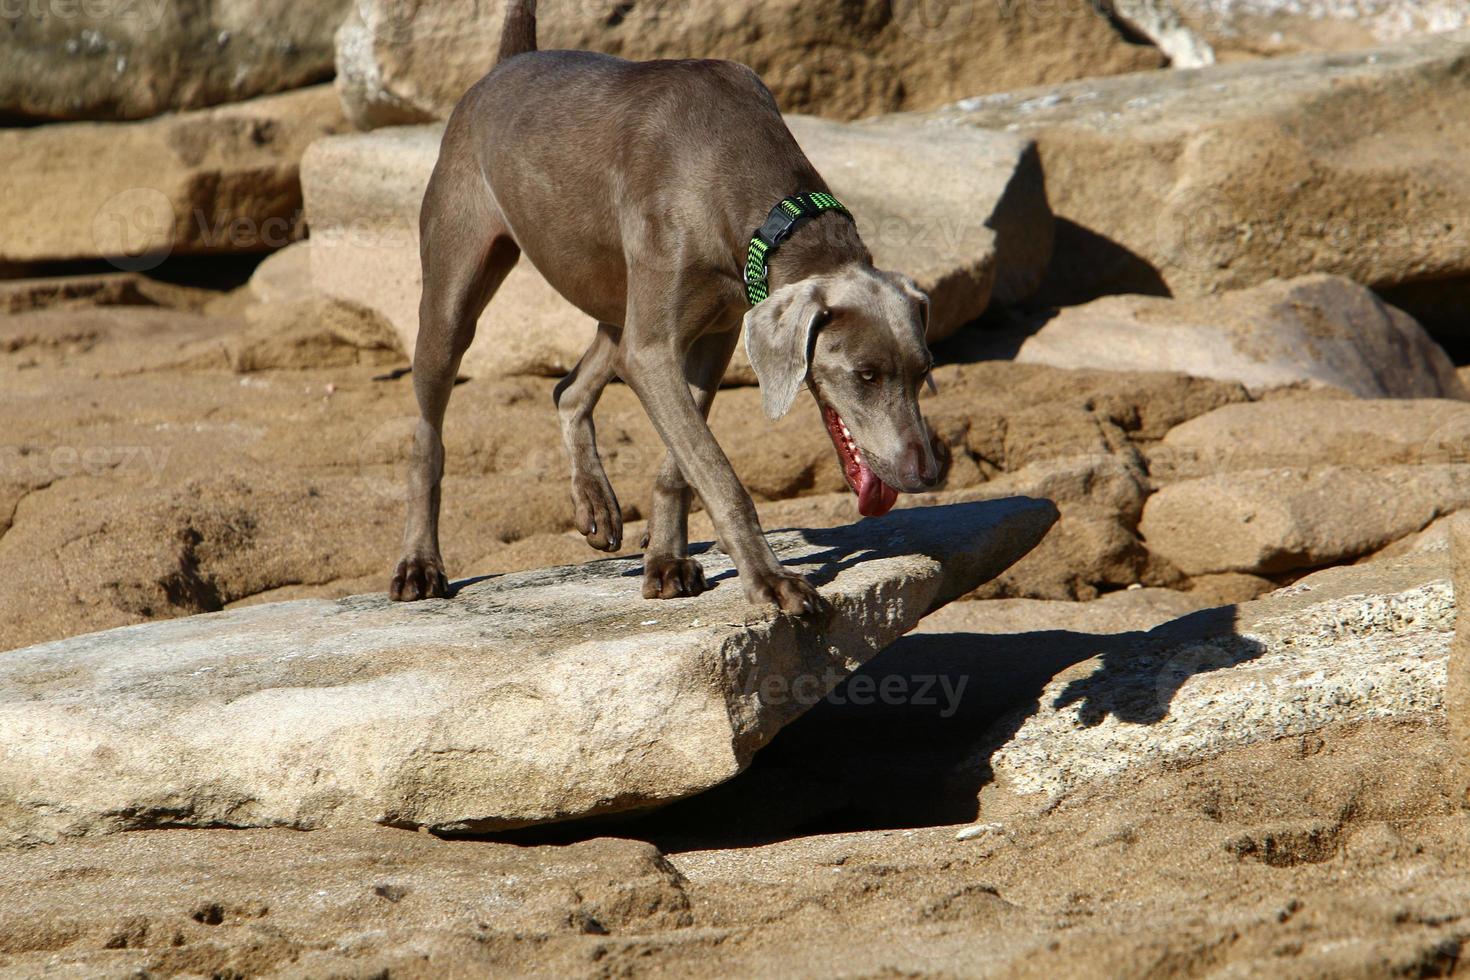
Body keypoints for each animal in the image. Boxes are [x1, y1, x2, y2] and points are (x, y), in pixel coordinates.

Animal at [391, 0, 940, 614]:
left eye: (924, 370)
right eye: (865, 375)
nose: (926, 475)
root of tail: (505, 64)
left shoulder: (721, 330)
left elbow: (683, 463)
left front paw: (667, 559)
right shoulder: (655, 350)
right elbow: (716, 469)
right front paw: (771, 580)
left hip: (618, 299)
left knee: (568, 389)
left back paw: (595, 503)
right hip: (453, 292)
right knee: (428, 436)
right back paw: (419, 565)